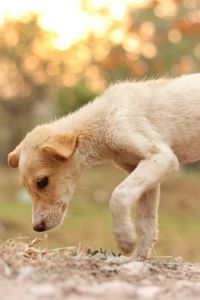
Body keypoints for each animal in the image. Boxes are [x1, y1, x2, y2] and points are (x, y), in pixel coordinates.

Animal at [7, 73, 200, 260]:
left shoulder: (162, 157)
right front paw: (139, 258)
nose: (37, 228)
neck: (103, 120)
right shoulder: (143, 170)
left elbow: (118, 195)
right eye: (26, 187)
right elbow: (146, 223)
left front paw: (124, 238)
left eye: (42, 182)